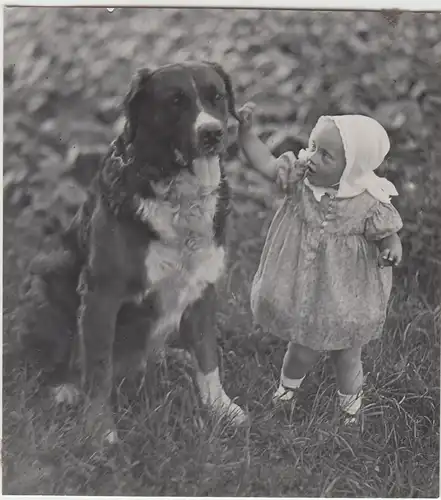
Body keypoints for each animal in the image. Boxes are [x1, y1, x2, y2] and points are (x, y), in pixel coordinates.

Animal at [18, 61, 248, 446]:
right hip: (43, 279)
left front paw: (221, 408)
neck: (176, 197)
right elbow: (97, 367)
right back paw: (65, 388)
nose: (212, 134)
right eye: (175, 102)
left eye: (216, 97)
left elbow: (207, 355)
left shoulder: (202, 287)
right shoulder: (102, 294)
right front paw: (99, 430)